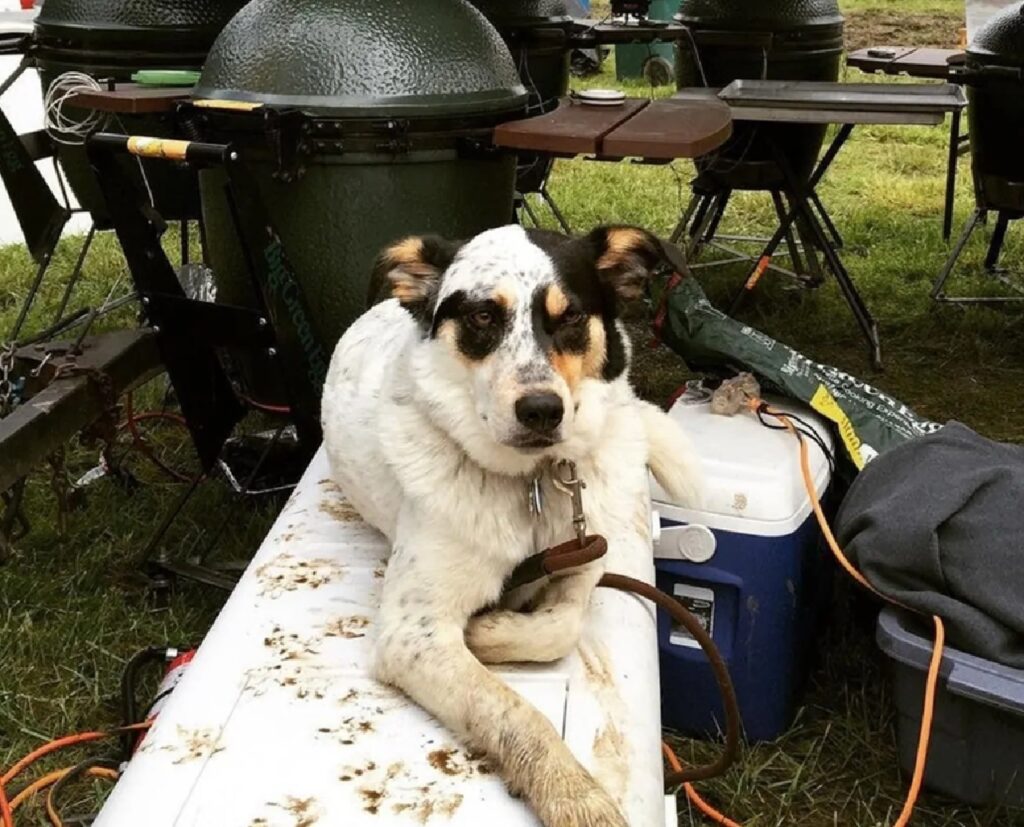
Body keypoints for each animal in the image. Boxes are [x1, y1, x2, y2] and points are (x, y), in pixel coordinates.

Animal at [323, 224, 700, 827]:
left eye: (571, 316)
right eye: (482, 316)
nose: (542, 410)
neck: (533, 486)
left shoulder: (586, 555)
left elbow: (561, 623)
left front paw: (489, 629)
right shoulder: (411, 635)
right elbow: (512, 713)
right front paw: (574, 795)